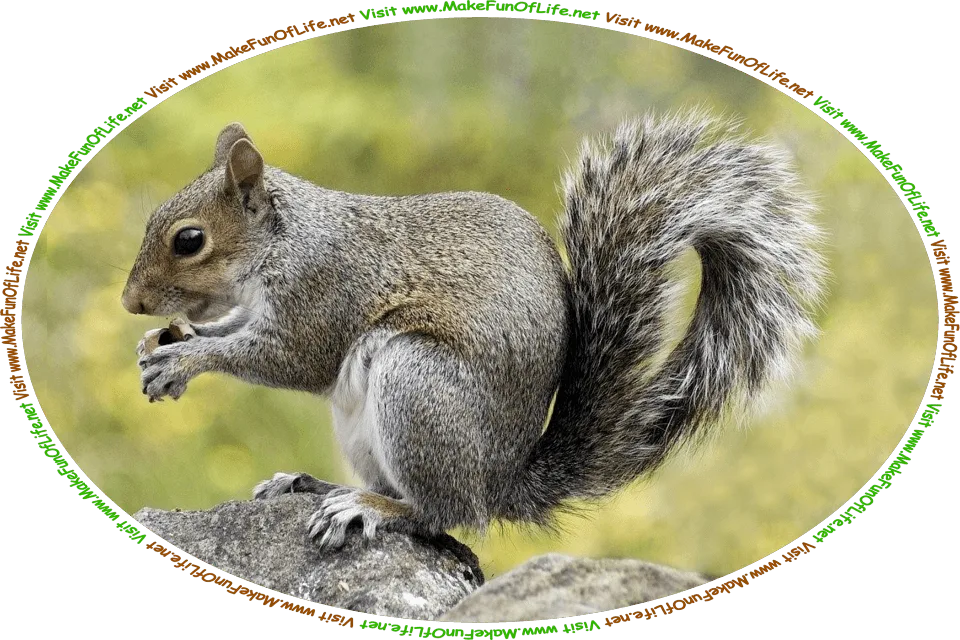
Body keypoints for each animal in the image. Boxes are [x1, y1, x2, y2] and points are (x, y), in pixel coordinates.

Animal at [122, 110, 825, 549]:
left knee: (442, 515)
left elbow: (289, 358)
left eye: (189, 240)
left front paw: (184, 360)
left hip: (417, 386)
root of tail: (499, 483)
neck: (285, 241)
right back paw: (316, 485)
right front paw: (166, 341)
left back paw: (371, 508)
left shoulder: (324, 292)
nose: (131, 302)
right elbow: (238, 328)